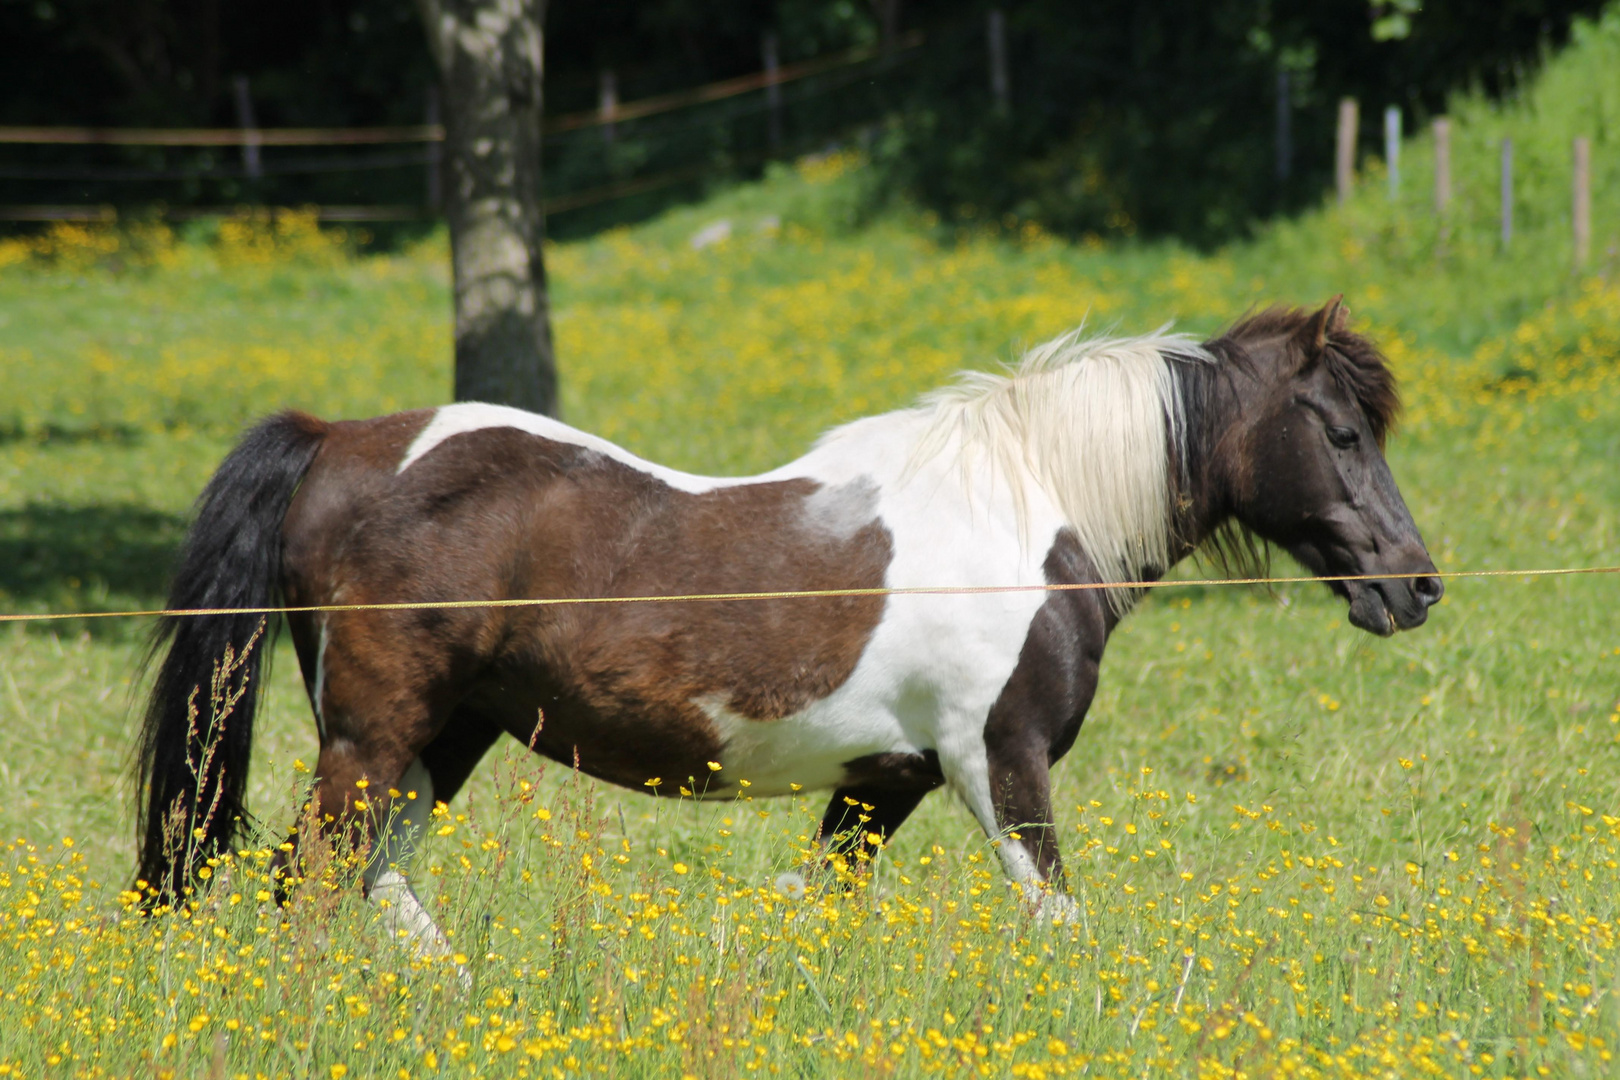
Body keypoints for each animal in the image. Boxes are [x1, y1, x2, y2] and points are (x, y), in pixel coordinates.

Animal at [132, 299, 1438, 952]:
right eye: (1339, 431)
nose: (1414, 584)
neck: (1024, 512)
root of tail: (337, 441)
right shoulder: (999, 763)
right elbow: (1059, 917)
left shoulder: (883, 785)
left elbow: (820, 908)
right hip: (373, 739)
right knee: (309, 881)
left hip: (444, 741)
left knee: (369, 881)